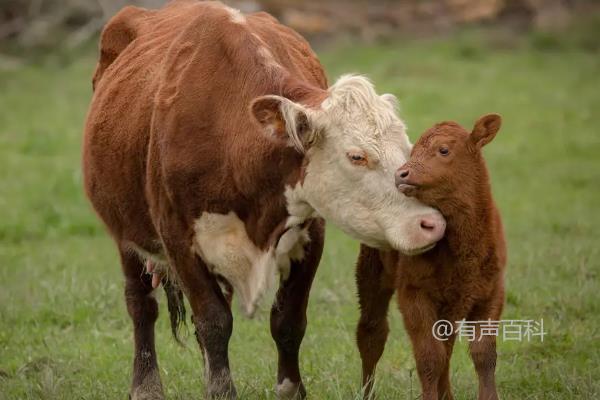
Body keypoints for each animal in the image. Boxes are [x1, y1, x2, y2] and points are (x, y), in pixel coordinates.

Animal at [82, 1, 446, 398]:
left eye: (407, 150)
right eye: (357, 156)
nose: (431, 224)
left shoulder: (311, 232)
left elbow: (287, 320)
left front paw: (289, 388)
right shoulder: (177, 238)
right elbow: (213, 321)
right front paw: (221, 390)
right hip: (126, 234)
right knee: (141, 304)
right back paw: (146, 385)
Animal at [356, 115, 506, 400]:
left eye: (444, 150)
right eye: (413, 152)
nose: (401, 174)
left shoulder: (491, 293)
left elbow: (483, 354)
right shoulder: (414, 294)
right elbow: (429, 357)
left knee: (447, 346)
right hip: (371, 272)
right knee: (371, 333)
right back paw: (366, 393)